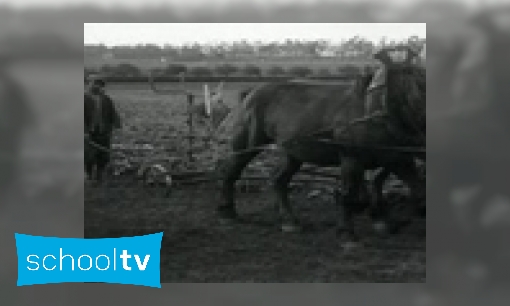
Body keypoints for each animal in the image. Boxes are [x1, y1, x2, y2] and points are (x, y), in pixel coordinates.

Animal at [217, 65, 424, 239]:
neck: (374, 110)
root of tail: (250, 93)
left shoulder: (397, 158)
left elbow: (413, 189)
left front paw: (384, 220)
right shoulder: (350, 158)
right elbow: (350, 195)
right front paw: (347, 233)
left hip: (294, 154)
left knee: (279, 180)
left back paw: (289, 221)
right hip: (247, 144)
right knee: (231, 172)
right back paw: (227, 212)